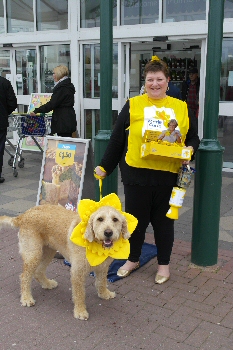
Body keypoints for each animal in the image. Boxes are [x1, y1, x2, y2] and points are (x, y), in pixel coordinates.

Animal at [0, 204, 130, 322]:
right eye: (100, 219)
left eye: (115, 219)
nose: (108, 233)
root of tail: (24, 215)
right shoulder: (77, 271)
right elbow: (79, 294)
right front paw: (80, 311)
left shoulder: (103, 267)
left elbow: (101, 282)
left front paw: (104, 294)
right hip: (33, 254)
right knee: (24, 277)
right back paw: (26, 298)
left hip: (48, 251)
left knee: (38, 271)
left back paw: (47, 284)